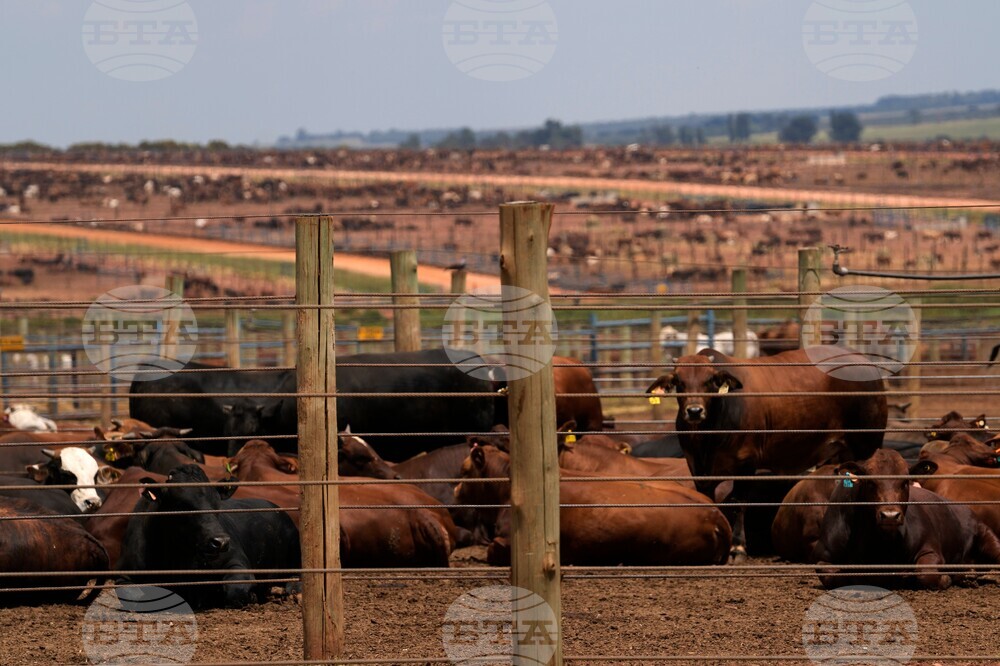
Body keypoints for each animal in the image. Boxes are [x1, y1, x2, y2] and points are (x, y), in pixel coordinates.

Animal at [117, 465, 301, 608]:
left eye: (217, 503)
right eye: (181, 505)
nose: (220, 542)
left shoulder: (237, 563)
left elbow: (236, 590)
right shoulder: (124, 576)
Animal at [645, 347, 887, 561]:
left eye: (710, 380)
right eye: (679, 381)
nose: (694, 411)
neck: (708, 436)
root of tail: (865, 364)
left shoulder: (745, 463)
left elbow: (739, 503)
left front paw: (738, 548)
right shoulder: (698, 468)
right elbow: (707, 500)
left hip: (866, 445)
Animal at [813, 449, 1000, 589]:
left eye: (905, 482)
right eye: (870, 482)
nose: (890, 516)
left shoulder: (930, 548)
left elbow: (925, 573)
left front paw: (946, 578)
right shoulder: (823, 557)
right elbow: (833, 576)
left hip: (986, 534)